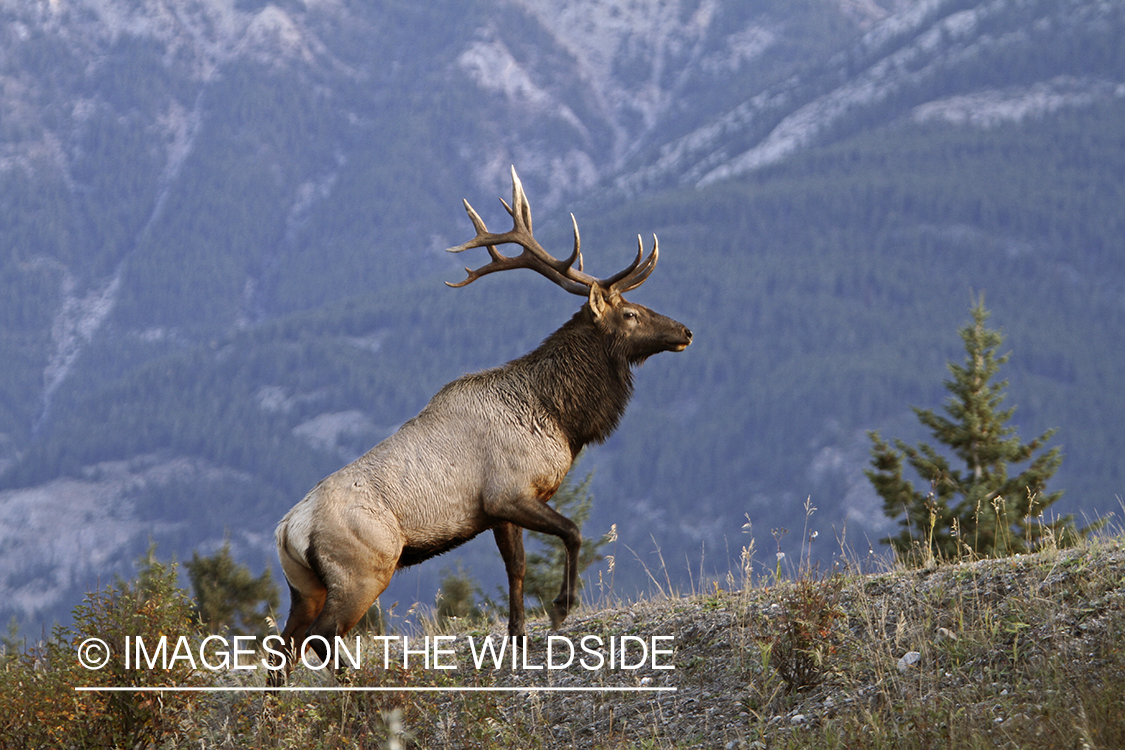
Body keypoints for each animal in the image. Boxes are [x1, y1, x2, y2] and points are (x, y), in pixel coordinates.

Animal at [267, 167, 688, 683]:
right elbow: (571, 532)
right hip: (363, 569)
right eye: (630, 313)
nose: (686, 331)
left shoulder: (499, 511)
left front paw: (518, 636)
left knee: (282, 649)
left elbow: (517, 568)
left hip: (304, 586)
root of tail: (287, 531)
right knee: (319, 639)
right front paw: (561, 607)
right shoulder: (509, 492)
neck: (559, 418)